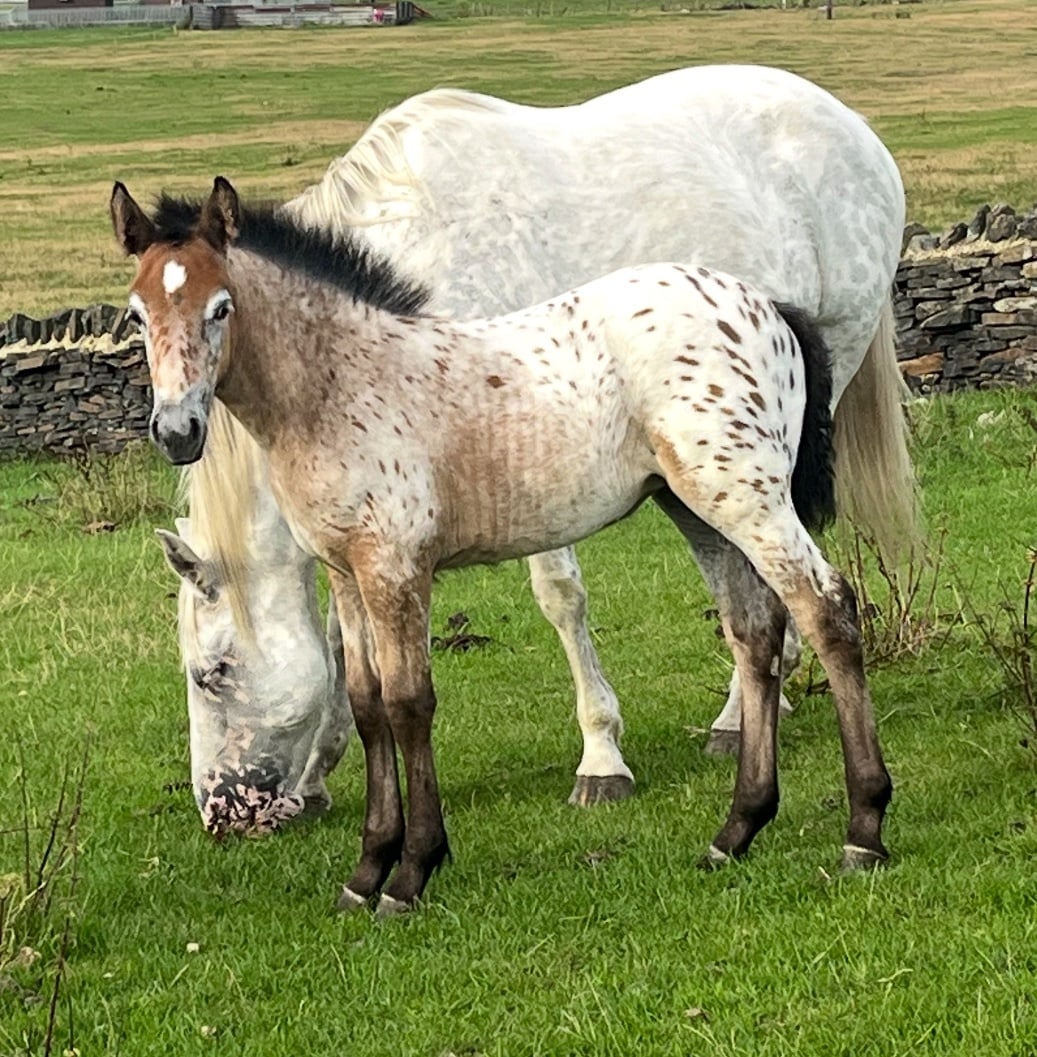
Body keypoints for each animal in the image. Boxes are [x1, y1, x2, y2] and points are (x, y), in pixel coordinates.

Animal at [158, 64, 912, 836]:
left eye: (211, 672)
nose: (220, 809)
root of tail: (848, 124)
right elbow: (346, 639)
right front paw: (318, 773)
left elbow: (559, 597)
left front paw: (601, 758)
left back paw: (744, 710)